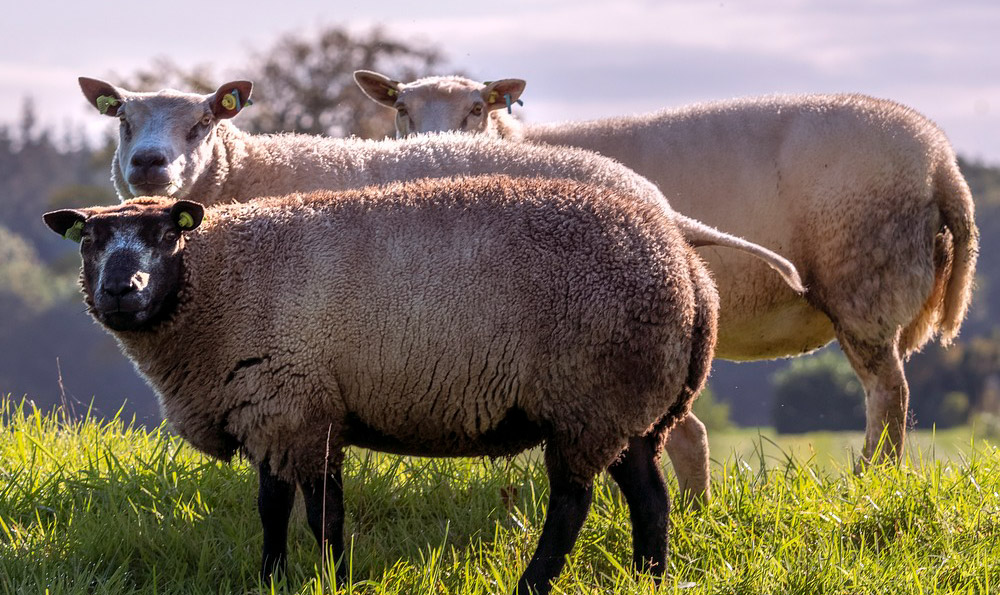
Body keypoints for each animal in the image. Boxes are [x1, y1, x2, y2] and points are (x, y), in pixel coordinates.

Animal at [45, 177, 720, 595]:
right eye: (89, 241)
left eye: (167, 236)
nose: (121, 290)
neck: (216, 279)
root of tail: (691, 272)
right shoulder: (273, 411)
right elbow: (271, 507)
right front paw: (270, 577)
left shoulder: (299, 406)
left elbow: (324, 515)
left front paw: (332, 580)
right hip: (629, 411)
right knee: (651, 499)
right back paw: (649, 578)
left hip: (589, 398)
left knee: (572, 505)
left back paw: (533, 584)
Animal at [356, 71, 980, 466]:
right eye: (401, 110)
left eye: (478, 108)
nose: (433, 148)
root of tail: (941, 161)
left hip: (863, 283)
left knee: (888, 398)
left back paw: (869, 482)